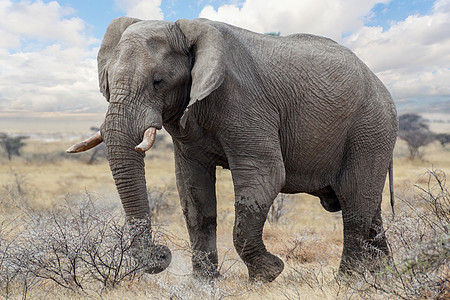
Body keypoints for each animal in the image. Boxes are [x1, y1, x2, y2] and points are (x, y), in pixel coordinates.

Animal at [67, 17, 398, 282]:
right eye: (108, 83)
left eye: (157, 81)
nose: (162, 253)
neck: (185, 30)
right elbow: (193, 194)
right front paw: (204, 283)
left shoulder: (245, 102)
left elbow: (265, 177)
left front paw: (268, 274)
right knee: (371, 210)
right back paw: (385, 276)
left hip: (371, 128)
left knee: (355, 203)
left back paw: (348, 281)